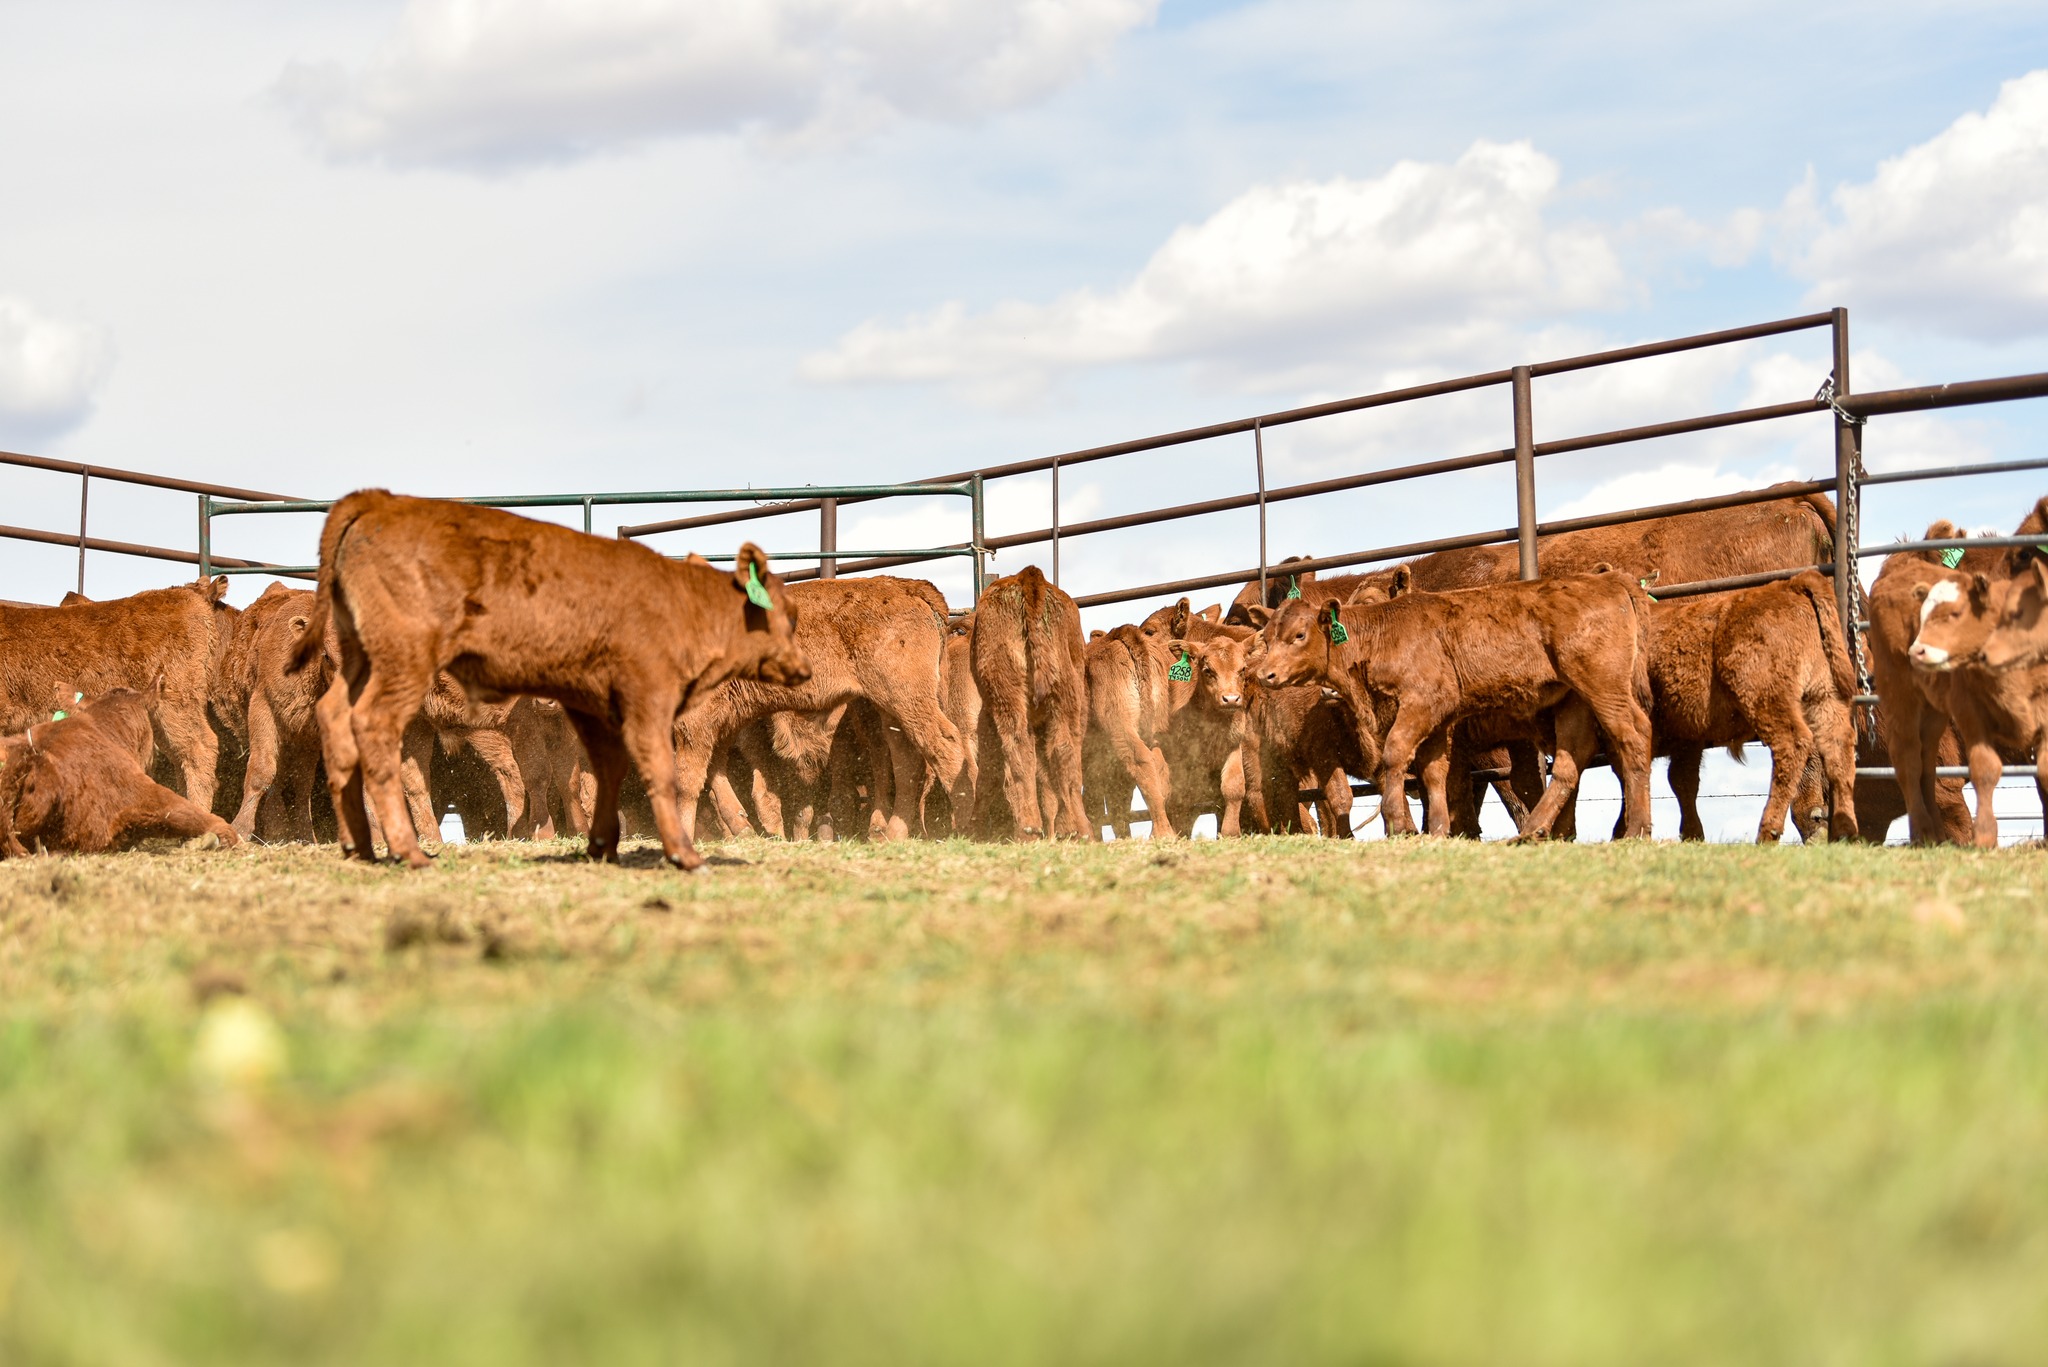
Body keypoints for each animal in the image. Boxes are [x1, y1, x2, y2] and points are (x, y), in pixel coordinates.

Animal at [290, 490, 808, 871]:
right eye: (783, 612)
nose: (802, 669)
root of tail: (378, 502)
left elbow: (588, 775)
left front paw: (596, 842)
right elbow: (644, 771)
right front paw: (681, 854)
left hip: (382, 689)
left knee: (357, 738)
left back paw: (364, 847)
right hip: (401, 672)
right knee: (372, 733)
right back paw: (409, 851)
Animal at [971, 566, 1088, 840]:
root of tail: (1028, 576)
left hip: (1014, 696)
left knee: (1025, 748)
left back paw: (1035, 828)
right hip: (1059, 697)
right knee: (1058, 750)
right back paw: (1071, 829)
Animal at [1249, 570, 1655, 839]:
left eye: (1299, 635)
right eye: (1267, 637)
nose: (1266, 674)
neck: (1383, 635)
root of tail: (1608, 580)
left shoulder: (1422, 704)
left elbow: (1396, 755)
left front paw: (1400, 824)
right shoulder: (1438, 721)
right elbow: (1433, 771)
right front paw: (1438, 830)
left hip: (1604, 687)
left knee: (1633, 737)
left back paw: (1635, 829)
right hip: (1573, 700)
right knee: (1572, 758)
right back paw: (1535, 830)